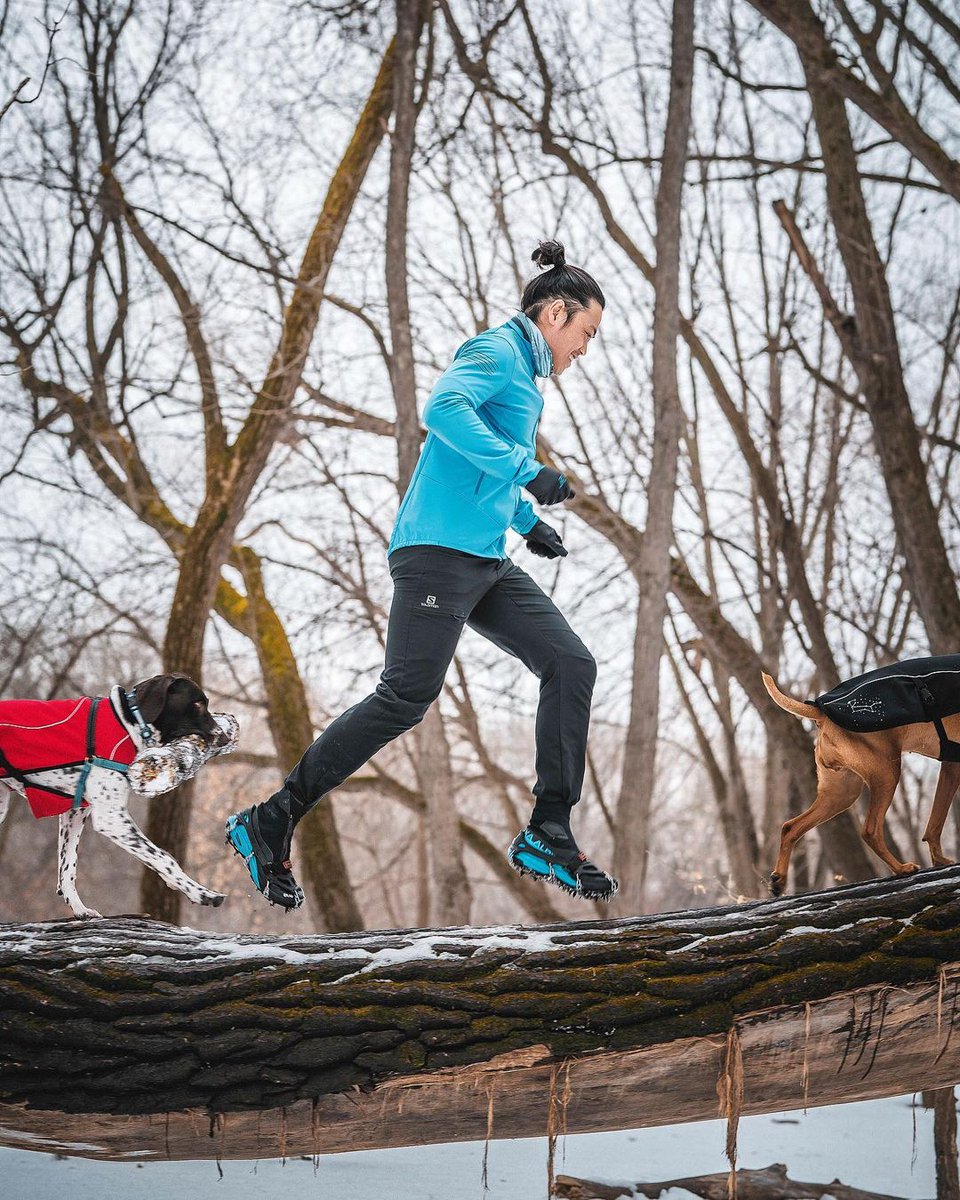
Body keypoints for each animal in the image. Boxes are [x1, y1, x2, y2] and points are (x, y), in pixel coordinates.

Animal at [0, 676, 229, 916]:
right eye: (198, 704)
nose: (224, 738)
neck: (128, 725)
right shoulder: (112, 819)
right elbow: (163, 858)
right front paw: (201, 893)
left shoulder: (76, 812)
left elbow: (67, 867)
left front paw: (80, 909)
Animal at [758, 672, 960, 897]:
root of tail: (822, 713)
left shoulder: (951, 766)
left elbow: (935, 822)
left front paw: (939, 860)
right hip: (886, 774)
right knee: (869, 830)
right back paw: (901, 869)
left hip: (841, 794)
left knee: (790, 827)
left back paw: (779, 881)